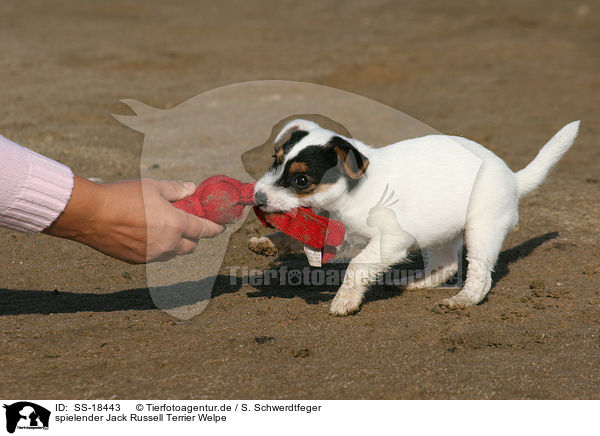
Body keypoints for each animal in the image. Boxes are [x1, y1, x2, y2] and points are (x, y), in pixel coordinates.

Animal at [250, 118, 580, 316]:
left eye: (302, 180)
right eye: (273, 162)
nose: (258, 196)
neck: (350, 192)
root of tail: (514, 178)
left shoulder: (390, 240)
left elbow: (358, 265)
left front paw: (345, 300)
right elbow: (296, 235)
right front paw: (267, 242)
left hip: (482, 228)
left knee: (481, 275)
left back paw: (463, 300)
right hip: (437, 232)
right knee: (446, 265)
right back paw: (413, 283)